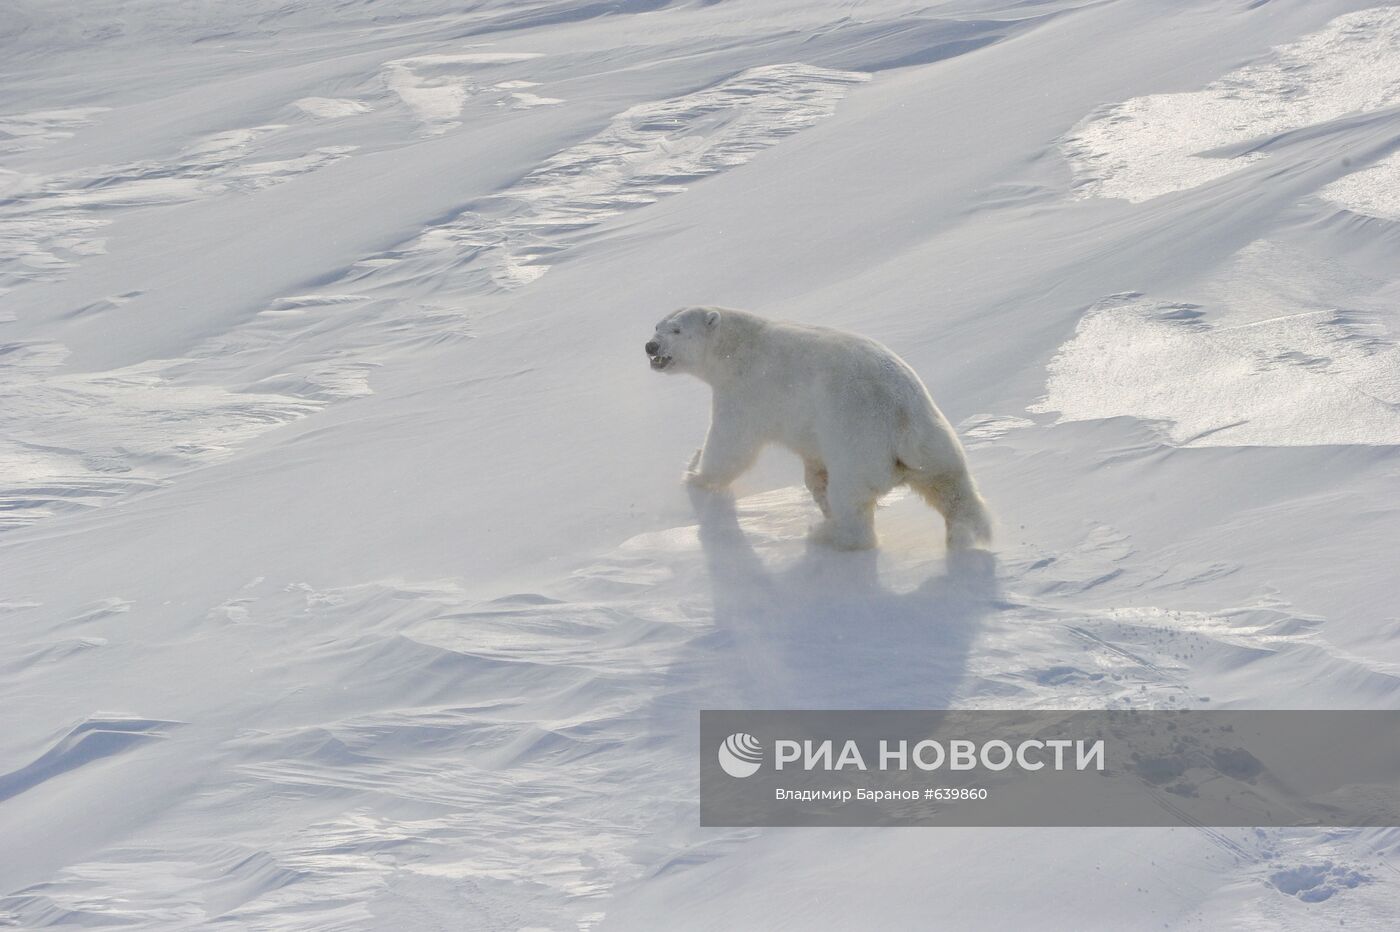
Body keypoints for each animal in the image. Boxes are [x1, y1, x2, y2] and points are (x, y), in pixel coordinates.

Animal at [646, 305, 996, 551]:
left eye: (677, 329)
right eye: (657, 325)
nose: (651, 346)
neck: (738, 344)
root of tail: (900, 419)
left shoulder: (748, 392)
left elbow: (730, 445)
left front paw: (694, 472)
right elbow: (812, 465)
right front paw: (817, 488)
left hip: (856, 444)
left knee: (852, 502)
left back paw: (828, 534)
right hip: (934, 439)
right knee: (953, 488)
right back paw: (968, 534)